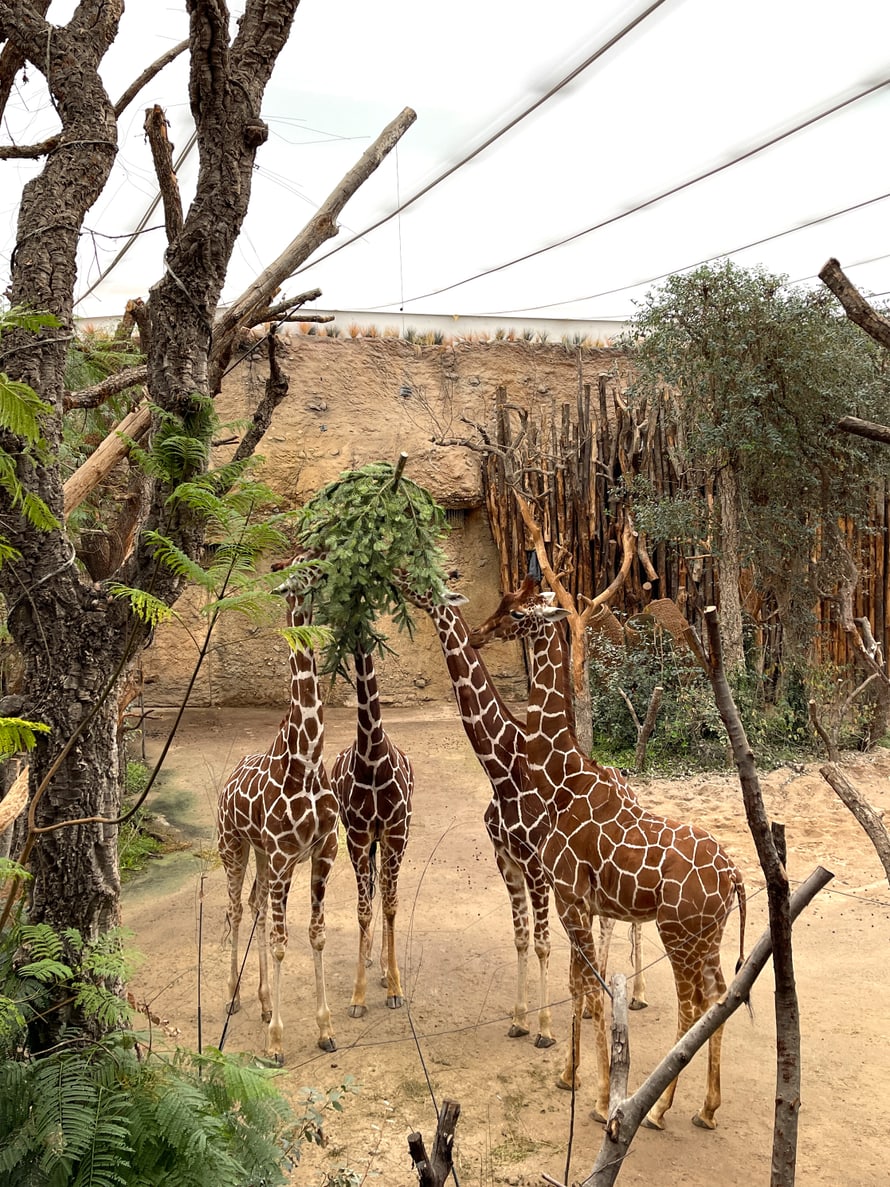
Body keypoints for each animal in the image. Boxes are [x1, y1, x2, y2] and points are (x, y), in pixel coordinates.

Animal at [389, 574, 650, 1049]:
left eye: (515, 611)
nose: (477, 633)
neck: (503, 768)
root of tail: (628, 784)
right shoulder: (506, 858)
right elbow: (522, 938)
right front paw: (520, 1019)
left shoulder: (536, 865)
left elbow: (546, 942)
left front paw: (545, 1028)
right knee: (607, 924)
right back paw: (598, 997)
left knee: (624, 924)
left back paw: (633, 994)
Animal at [469, 576, 749, 1130]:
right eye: (505, 604)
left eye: (517, 613)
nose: (478, 633)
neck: (561, 779)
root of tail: (734, 874)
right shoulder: (577, 903)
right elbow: (580, 983)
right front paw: (568, 1076)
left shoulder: (570, 897)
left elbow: (592, 990)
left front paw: (600, 1101)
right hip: (708, 935)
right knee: (718, 998)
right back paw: (706, 1109)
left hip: (679, 934)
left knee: (691, 1008)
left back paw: (657, 1109)